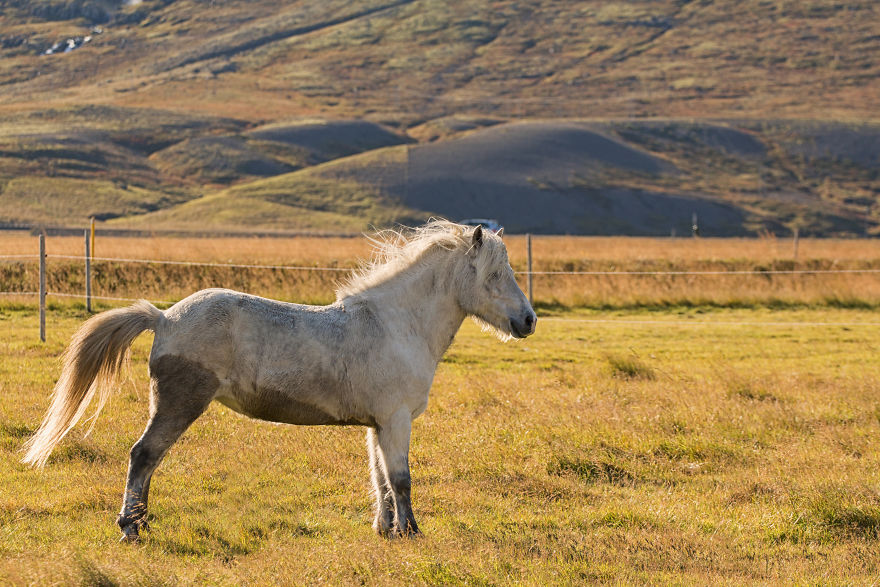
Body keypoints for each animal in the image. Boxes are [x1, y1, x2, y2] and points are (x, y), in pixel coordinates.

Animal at [22, 220, 537, 541]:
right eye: (494, 275)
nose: (528, 320)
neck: (394, 324)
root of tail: (165, 317)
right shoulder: (396, 421)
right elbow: (401, 479)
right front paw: (411, 533)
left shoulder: (378, 425)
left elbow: (381, 480)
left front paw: (386, 530)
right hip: (180, 405)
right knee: (143, 455)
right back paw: (131, 528)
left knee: (149, 460)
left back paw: (143, 524)